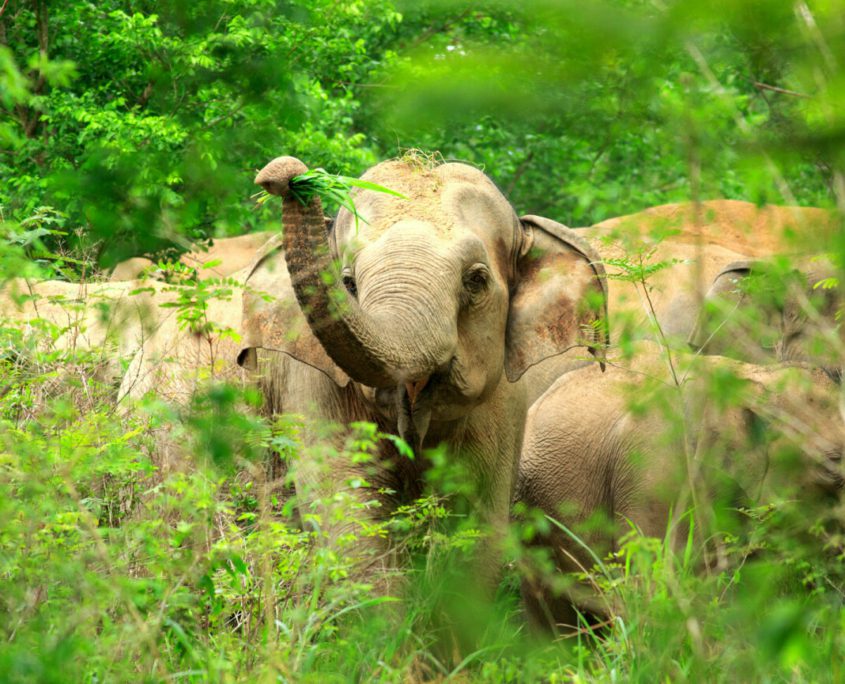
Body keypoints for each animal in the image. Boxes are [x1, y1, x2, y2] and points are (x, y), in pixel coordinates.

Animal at [237, 154, 609, 587]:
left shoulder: (502, 406)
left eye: (476, 280)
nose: (283, 175)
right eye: (348, 283)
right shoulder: (315, 388)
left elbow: (475, 525)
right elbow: (350, 510)